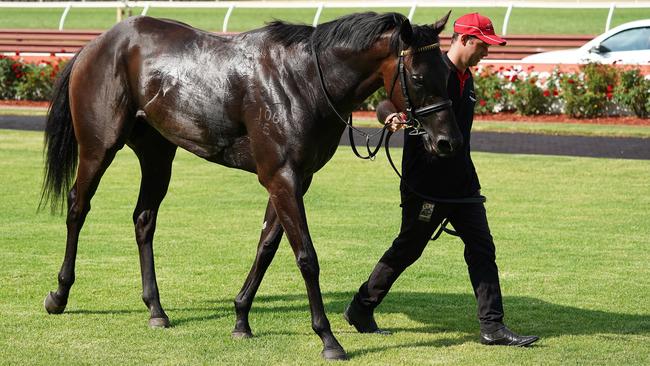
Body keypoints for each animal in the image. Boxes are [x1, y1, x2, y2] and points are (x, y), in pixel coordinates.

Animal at [40, 11, 458, 360]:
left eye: (449, 74)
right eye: (418, 77)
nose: (446, 142)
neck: (304, 79)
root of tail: (97, 44)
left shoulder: (295, 179)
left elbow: (266, 247)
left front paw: (241, 318)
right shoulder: (282, 176)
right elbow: (306, 257)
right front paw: (327, 338)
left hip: (157, 153)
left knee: (144, 219)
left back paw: (156, 309)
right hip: (98, 147)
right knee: (78, 207)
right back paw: (60, 294)